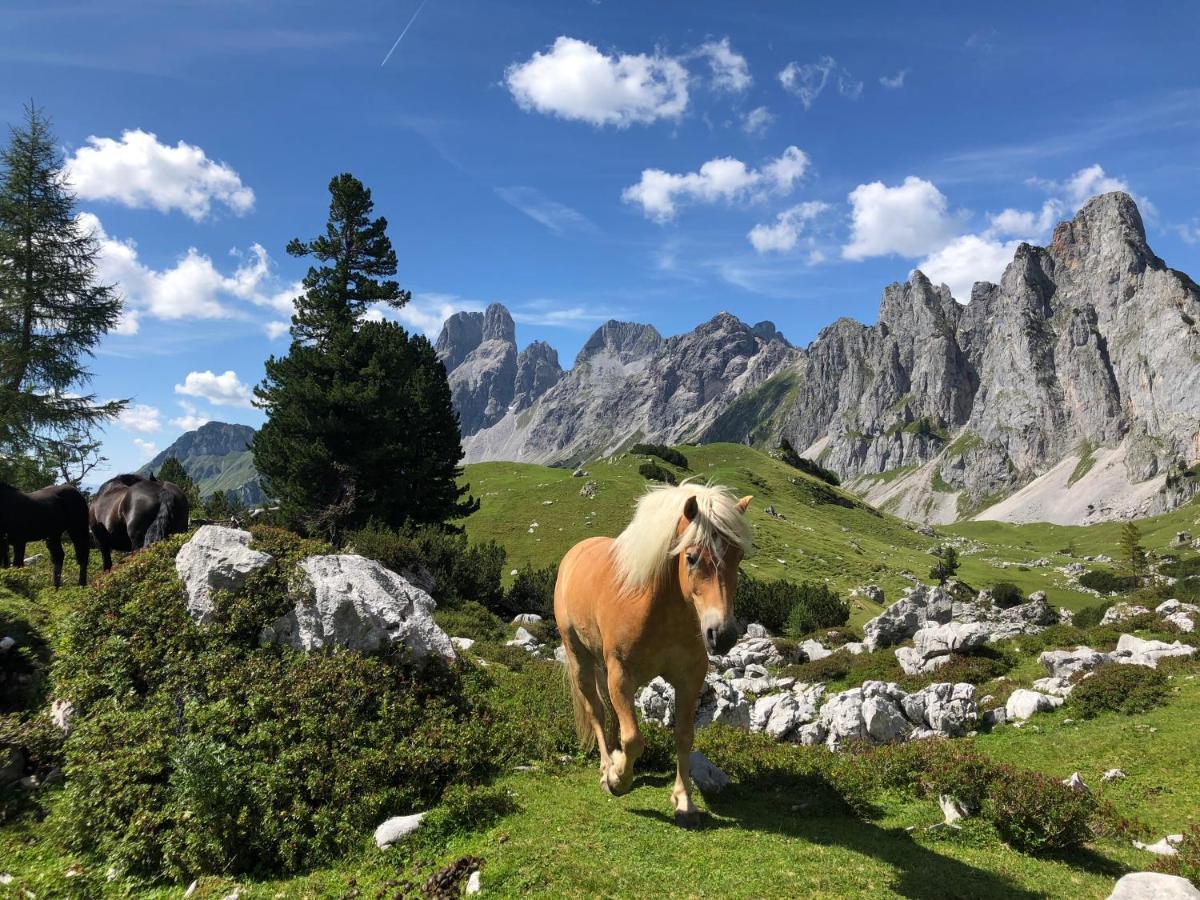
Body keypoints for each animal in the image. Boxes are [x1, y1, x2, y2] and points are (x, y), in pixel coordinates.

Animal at [552, 482, 748, 830]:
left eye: (738, 557)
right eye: (691, 557)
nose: (722, 635)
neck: (658, 609)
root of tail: (575, 552)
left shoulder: (690, 678)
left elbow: (683, 736)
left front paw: (684, 801)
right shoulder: (622, 675)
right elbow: (633, 739)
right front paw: (618, 780)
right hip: (580, 659)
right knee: (597, 711)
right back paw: (607, 766)